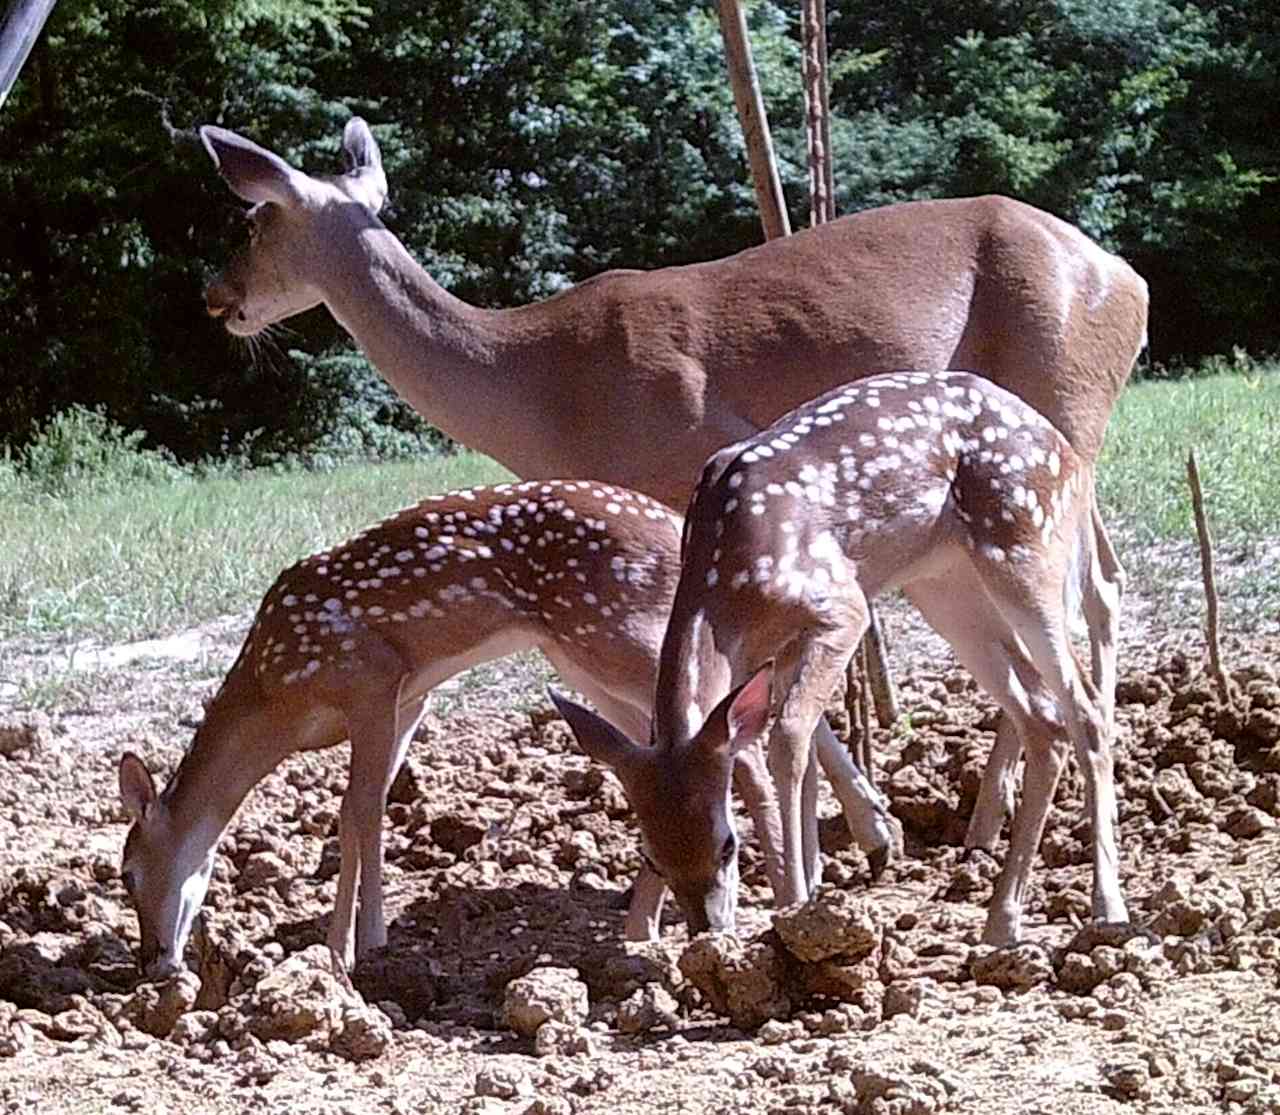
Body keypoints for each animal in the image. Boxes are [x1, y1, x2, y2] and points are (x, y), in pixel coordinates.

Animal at [122, 478, 901, 978]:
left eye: (127, 873)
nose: (152, 961)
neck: (276, 689)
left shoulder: (371, 676)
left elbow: (354, 811)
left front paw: (342, 951)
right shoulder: (410, 699)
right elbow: (373, 811)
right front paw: (370, 937)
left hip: (621, 637)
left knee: (739, 744)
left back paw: (775, 900)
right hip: (595, 665)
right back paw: (660, 922)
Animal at [202, 117, 1152, 839]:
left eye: (253, 221)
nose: (215, 296)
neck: (536, 386)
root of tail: (1131, 281)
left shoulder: (668, 480)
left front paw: (862, 828)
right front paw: (853, 825)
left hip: (1061, 409)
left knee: (1084, 589)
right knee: (1097, 582)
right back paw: (1002, 815)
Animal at [555, 373, 1126, 942]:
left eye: (728, 846)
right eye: (651, 856)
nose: (706, 930)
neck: (728, 587)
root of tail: (1066, 450)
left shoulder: (840, 607)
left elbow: (788, 739)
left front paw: (794, 903)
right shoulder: (777, 651)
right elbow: (805, 755)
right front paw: (808, 889)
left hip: (1026, 546)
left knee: (1084, 704)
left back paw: (1106, 907)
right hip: (945, 585)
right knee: (1043, 716)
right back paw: (1001, 922)